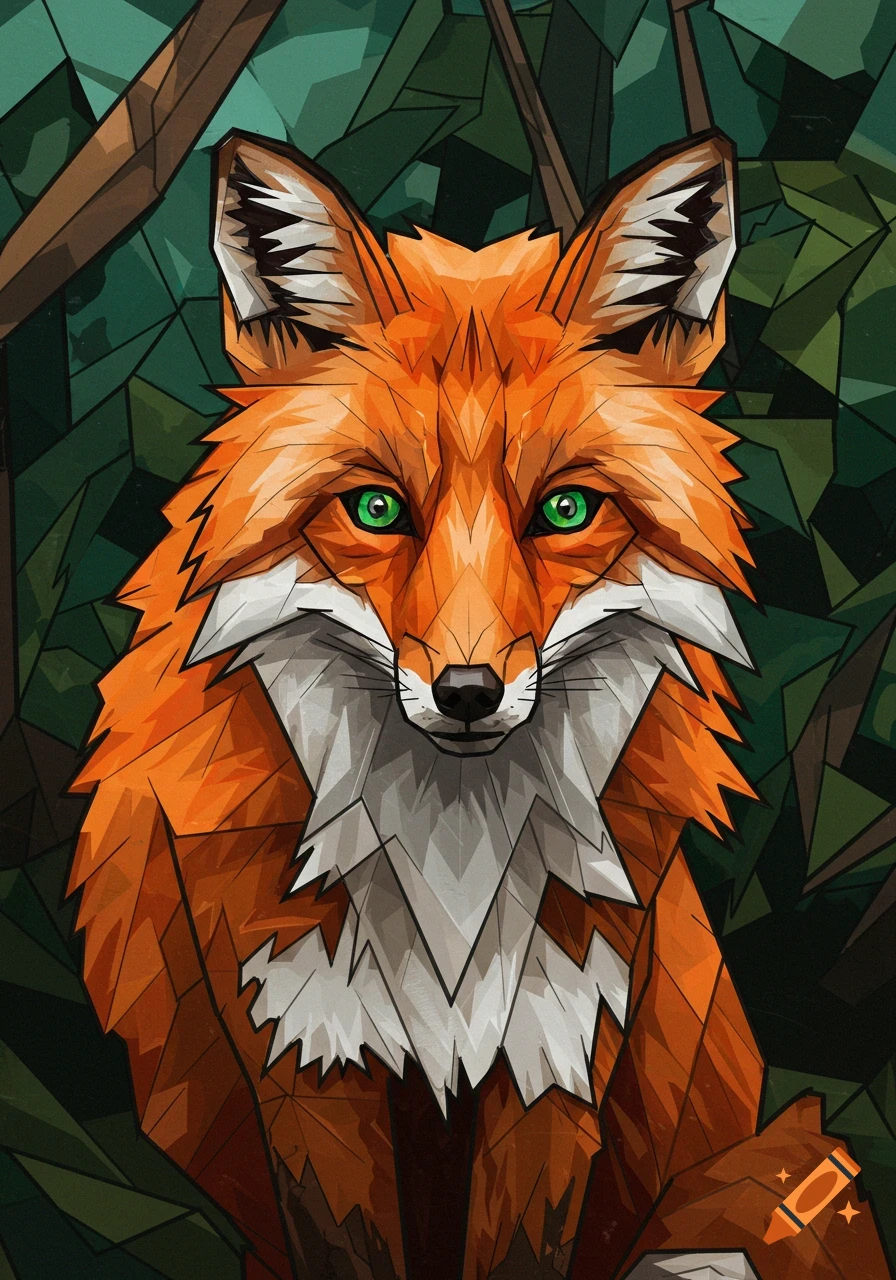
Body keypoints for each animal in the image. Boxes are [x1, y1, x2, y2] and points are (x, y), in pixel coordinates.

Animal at [69, 131, 890, 1280]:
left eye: (566, 509)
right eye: (376, 508)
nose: (466, 692)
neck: (450, 875)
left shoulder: (558, 1052)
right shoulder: (304, 1065)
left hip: (773, 1188)